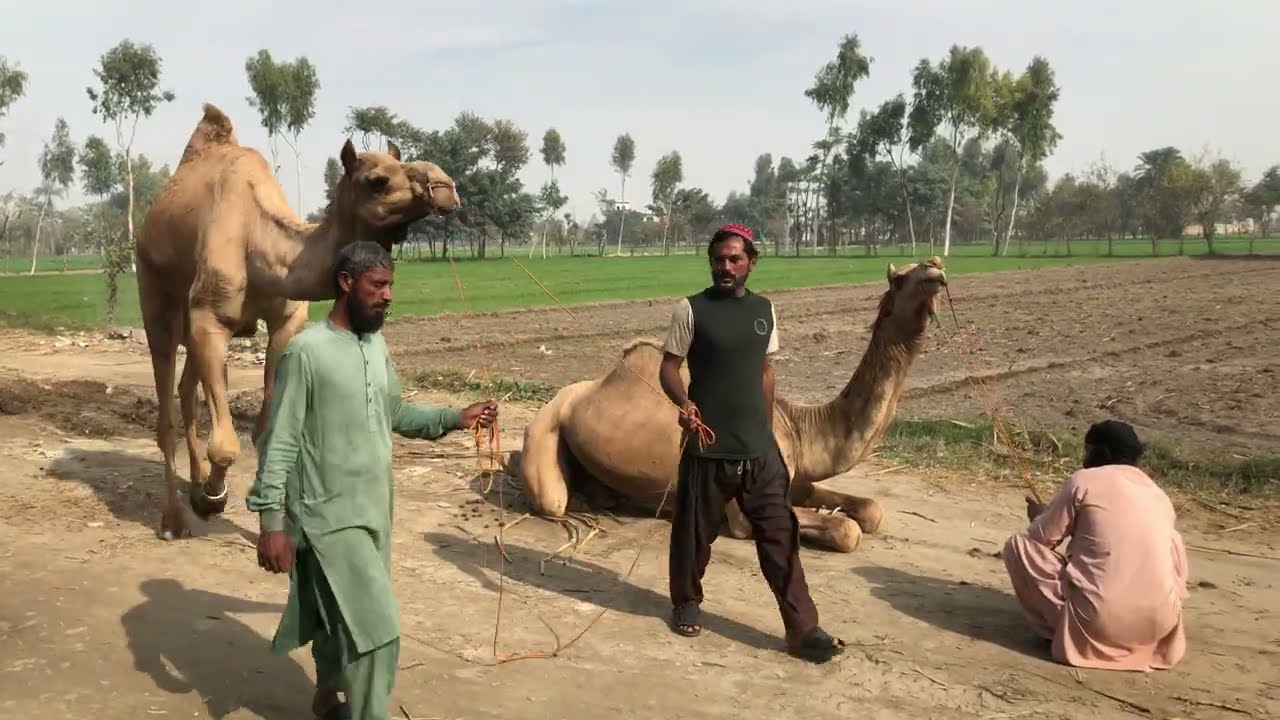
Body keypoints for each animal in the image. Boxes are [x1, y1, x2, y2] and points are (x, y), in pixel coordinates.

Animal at [136, 103, 460, 540]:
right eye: (377, 180)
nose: (445, 186)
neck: (263, 244)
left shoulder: (287, 319)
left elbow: (265, 429)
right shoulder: (210, 316)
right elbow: (226, 444)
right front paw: (212, 499)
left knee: (187, 391)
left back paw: (196, 486)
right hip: (156, 297)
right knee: (166, 408)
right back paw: (174, 520)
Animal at [510, 256, 948, 553]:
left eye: (926, 266)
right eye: (902, 279)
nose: (936, 267)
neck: (799, 428)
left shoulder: (796, 479)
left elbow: (871, 510)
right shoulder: (741, 515)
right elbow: (847, 529)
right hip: (544, 433)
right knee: (553, 499)